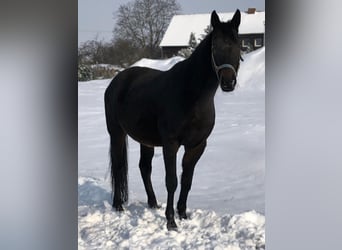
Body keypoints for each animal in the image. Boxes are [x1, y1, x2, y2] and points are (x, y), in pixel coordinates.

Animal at [105, 9, 242, 229]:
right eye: (215, 46)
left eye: (238, 44)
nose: (228, 82)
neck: (192, 96)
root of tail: (116, 81)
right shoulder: (171, 144)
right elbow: (172, 181)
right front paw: (171, 221)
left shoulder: (197, 145)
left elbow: (187, 180)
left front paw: (183, 213)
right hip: (116, 133)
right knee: (118, 166)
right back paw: (118, 205)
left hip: (146, 140)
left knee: (144, 168)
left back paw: (153, 203)